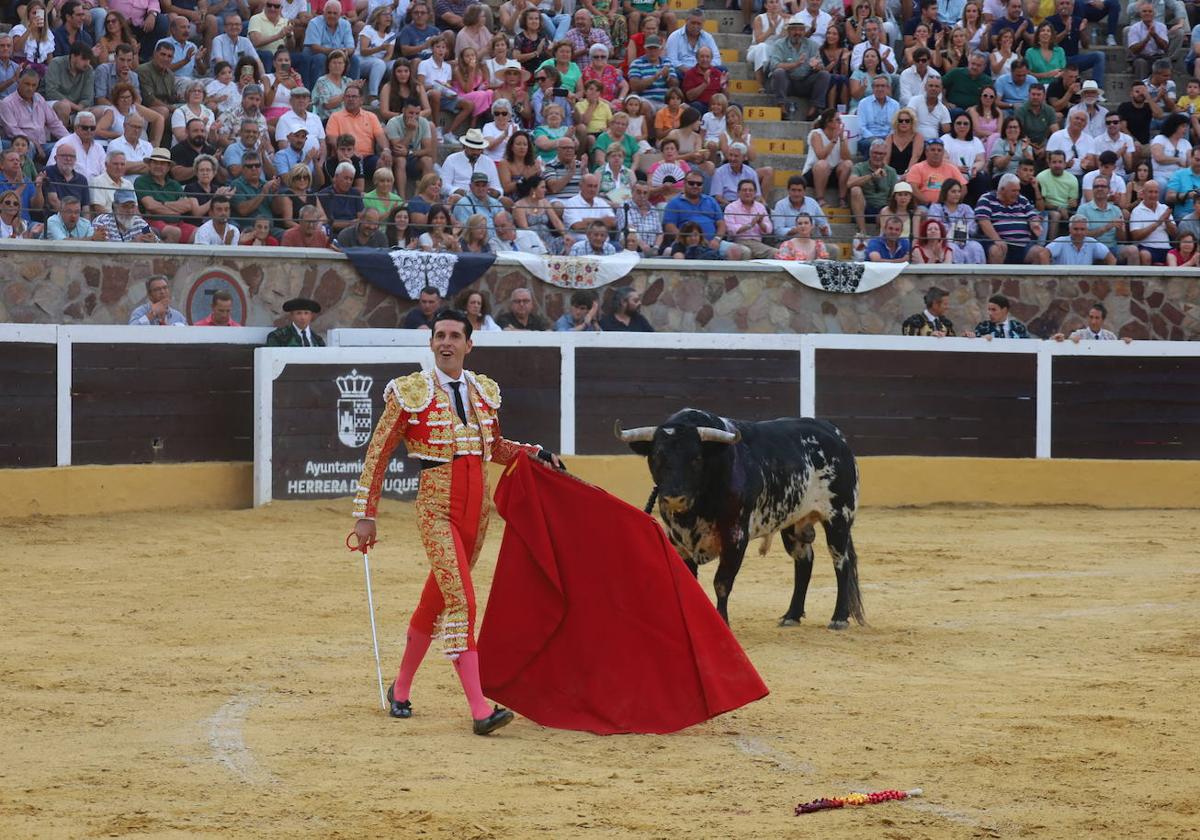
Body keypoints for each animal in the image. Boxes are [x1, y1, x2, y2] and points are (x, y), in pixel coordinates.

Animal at [619, 408, 864, 628]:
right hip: (794, 524)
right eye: (656, 457)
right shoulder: (678, 540)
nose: (673, 499)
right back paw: (791, 616)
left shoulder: (735, 537)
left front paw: (723, 622)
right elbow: (687, 582)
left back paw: (839, 618)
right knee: (804, 562)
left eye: (696, 458)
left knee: (841, 562)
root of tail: (832, 431)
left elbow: (722, 583)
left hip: (839, 518)